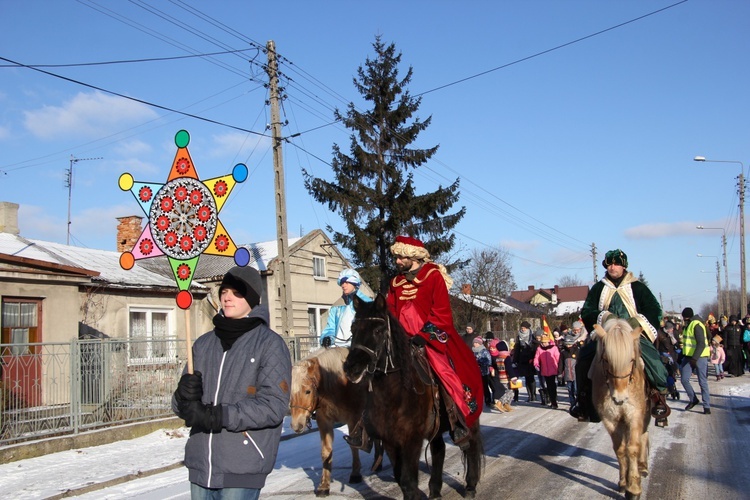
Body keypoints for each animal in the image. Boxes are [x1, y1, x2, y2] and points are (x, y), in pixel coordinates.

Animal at [290, 348, 384, 496]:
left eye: (308, 391)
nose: (296, 425)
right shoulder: (324, 421)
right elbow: (326, 451)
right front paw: (324, 485)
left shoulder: (353, 419)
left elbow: (353, 446)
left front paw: (355, 474)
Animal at [346, 294, 484, 498]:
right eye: (353, 329)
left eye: (378, 330)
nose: (351, 367)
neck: (393, 395)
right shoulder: (389, 440)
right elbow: (400, 478)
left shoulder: (411, 440)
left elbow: (407, 480)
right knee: (439, 450)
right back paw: (435, 490)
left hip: (470, 419)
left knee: (472, 446)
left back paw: (470, 486)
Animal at [592, 318, 652, 498]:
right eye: (606, 360)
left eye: (631, 360)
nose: (619, 398)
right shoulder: (610, 419)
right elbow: (620, 449)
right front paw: (624, 482)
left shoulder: (635, 415)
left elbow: (632, 448)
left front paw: (634, 488)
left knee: (643, 435)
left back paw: (642, 466)